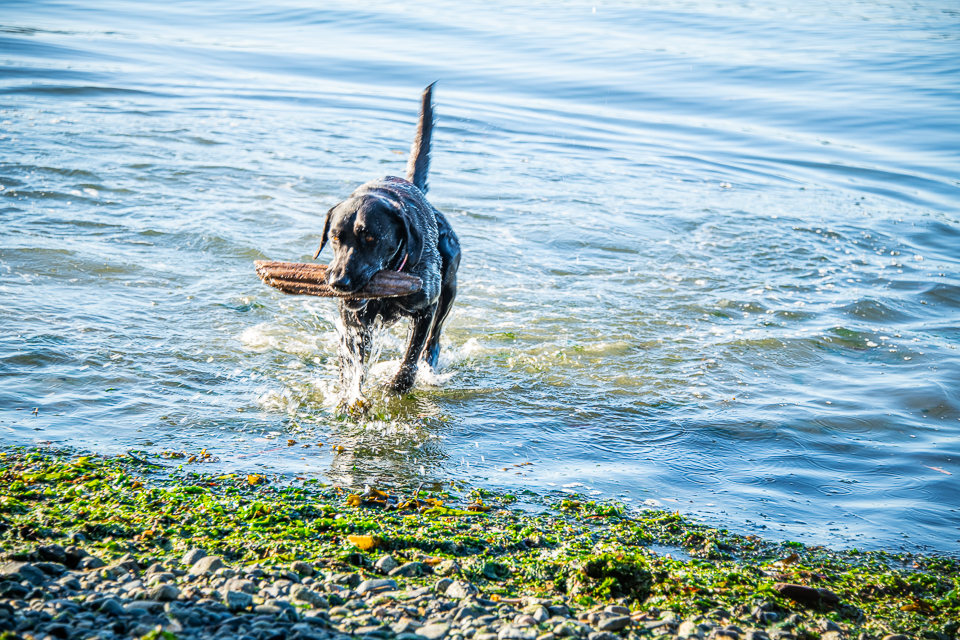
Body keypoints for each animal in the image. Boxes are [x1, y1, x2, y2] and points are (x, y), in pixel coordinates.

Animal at [313, 84, 461, 399]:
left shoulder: (425, 308)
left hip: (449, 285)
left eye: (370, 237)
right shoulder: (353, 321)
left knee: (434, 339)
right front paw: (350, 395)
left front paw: (399, 384)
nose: (338, 282)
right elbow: (353, 363)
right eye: (334, 237)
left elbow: (412, 352)